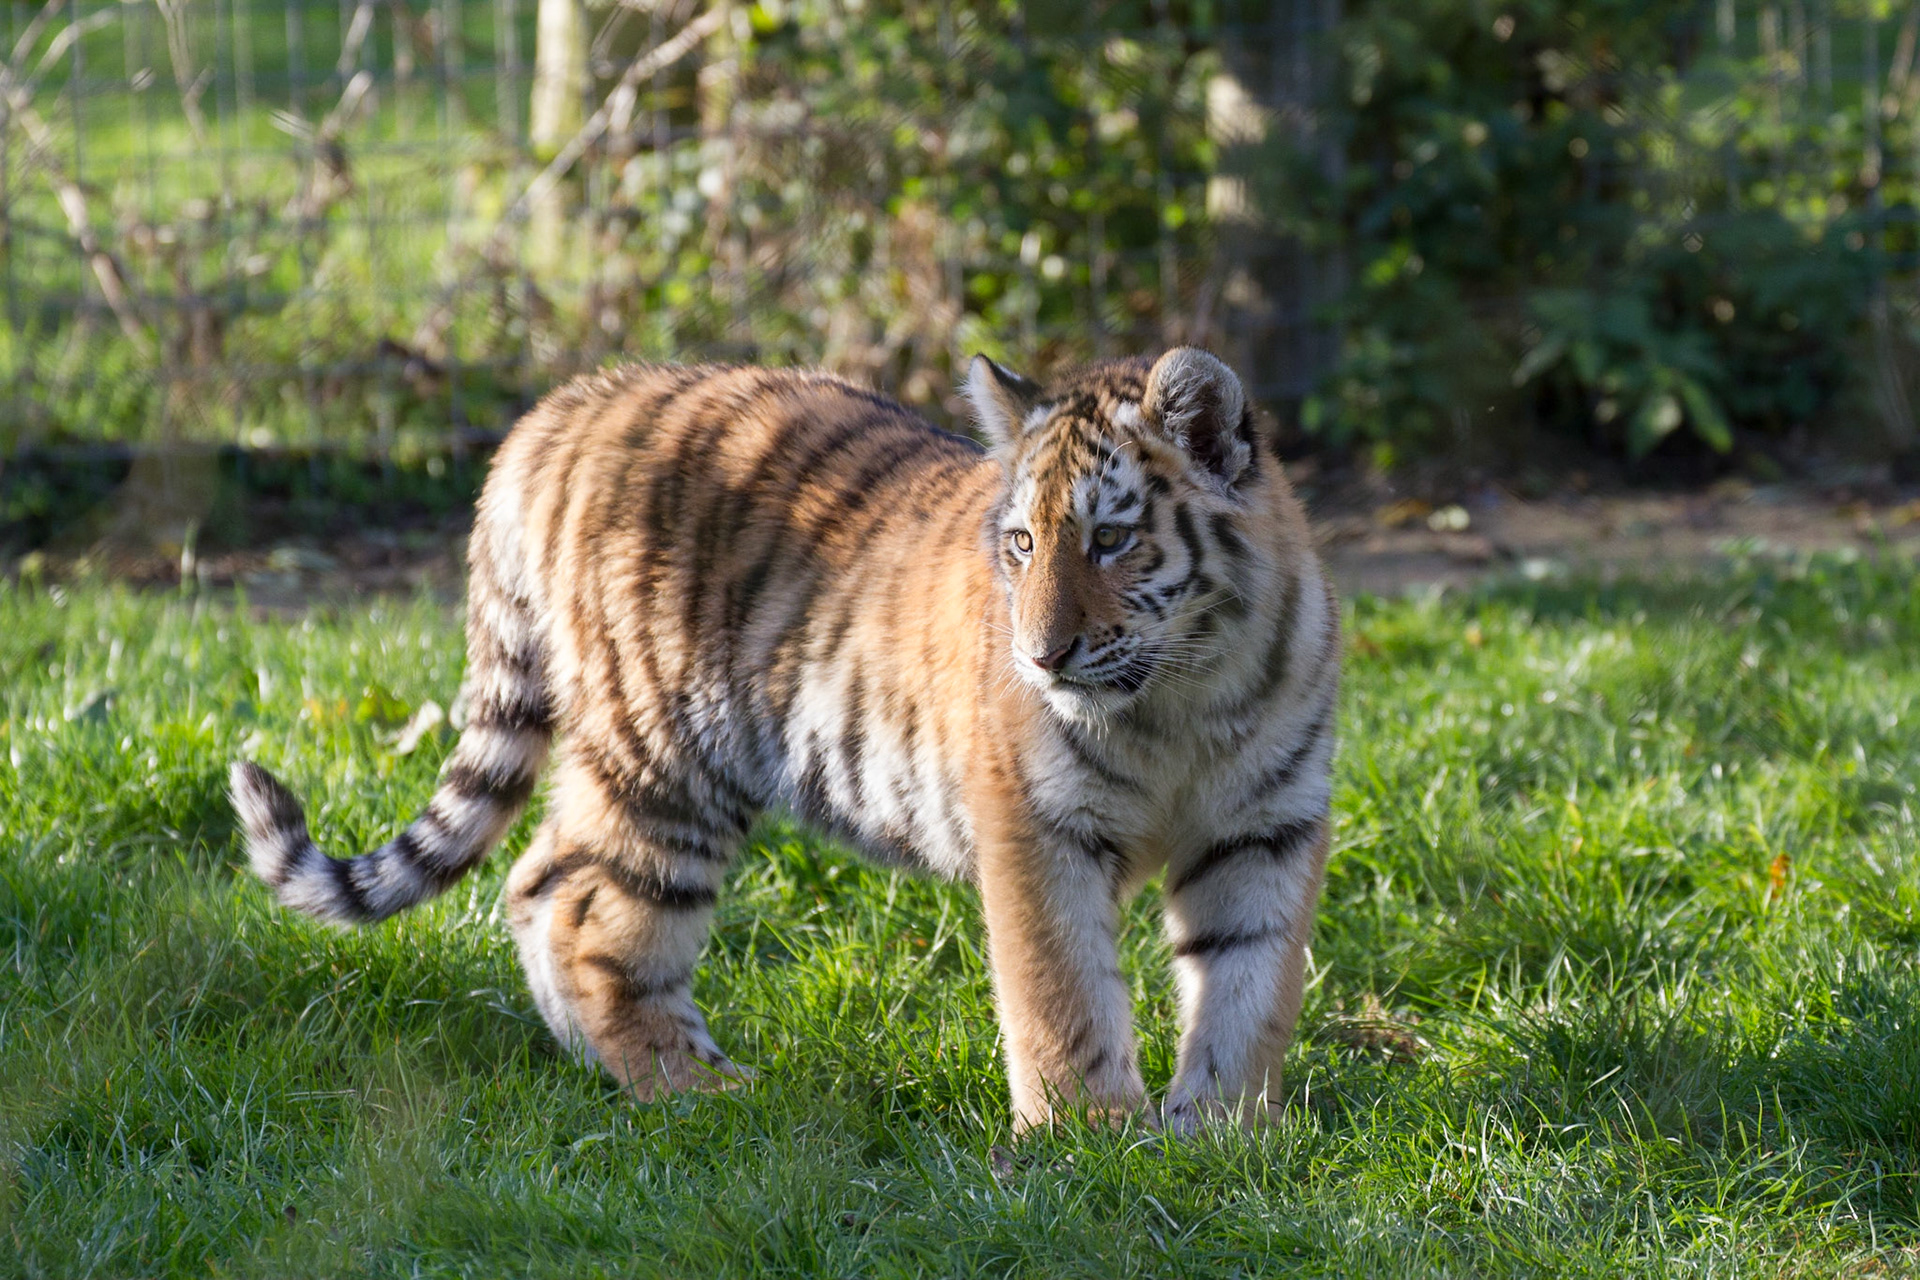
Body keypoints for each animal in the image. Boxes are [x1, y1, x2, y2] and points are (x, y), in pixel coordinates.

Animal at [229, 346, 1341, 1134]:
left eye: (1111, 539)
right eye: (1023, 543)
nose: (1041, 654)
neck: (1184, 698)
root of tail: (566, 406)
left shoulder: (1265, 826)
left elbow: (1250, 983)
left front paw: (1220, 1134)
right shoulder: (1037, 824)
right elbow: (1061, 991)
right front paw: (1093, 1139)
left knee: (536, 881)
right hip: (666, 756)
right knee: (582, 902)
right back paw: (697, 1088)